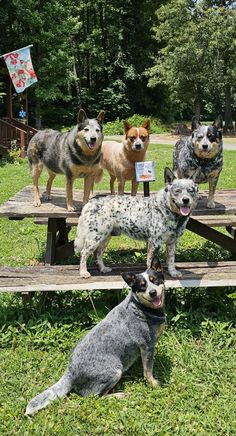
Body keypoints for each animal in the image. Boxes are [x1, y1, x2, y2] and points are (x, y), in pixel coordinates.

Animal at [25, 258, 166, 416]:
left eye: (154, 280)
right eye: (142, 286)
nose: (153, 292)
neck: (140, 307)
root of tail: (70, 372)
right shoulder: (147, 346)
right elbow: (148, 371)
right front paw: (154, 384)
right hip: (115, 371)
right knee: (94, 397)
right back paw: (118, 395)